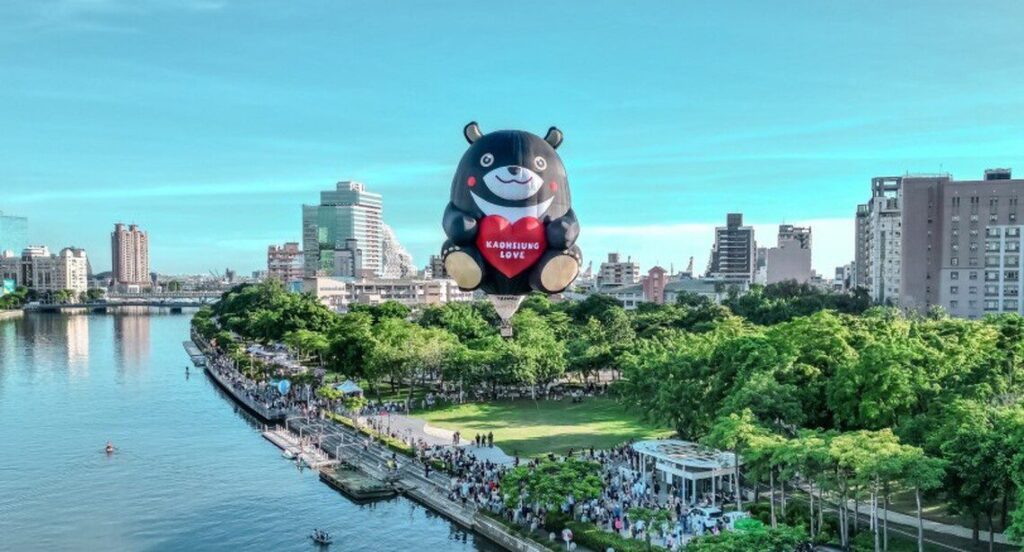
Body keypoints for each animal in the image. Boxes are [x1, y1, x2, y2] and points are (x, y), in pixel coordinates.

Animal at [441, 122, 581, 296]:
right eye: (486, 159)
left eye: (540, 162)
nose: (514, 169)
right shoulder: (455, 207)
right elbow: (452, 217)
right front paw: (467, 224)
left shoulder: (566, 212)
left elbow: (570, 221)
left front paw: (560, 229)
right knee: (456, 249)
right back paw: (459, 258)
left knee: (565, 256)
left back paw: (561, 262)